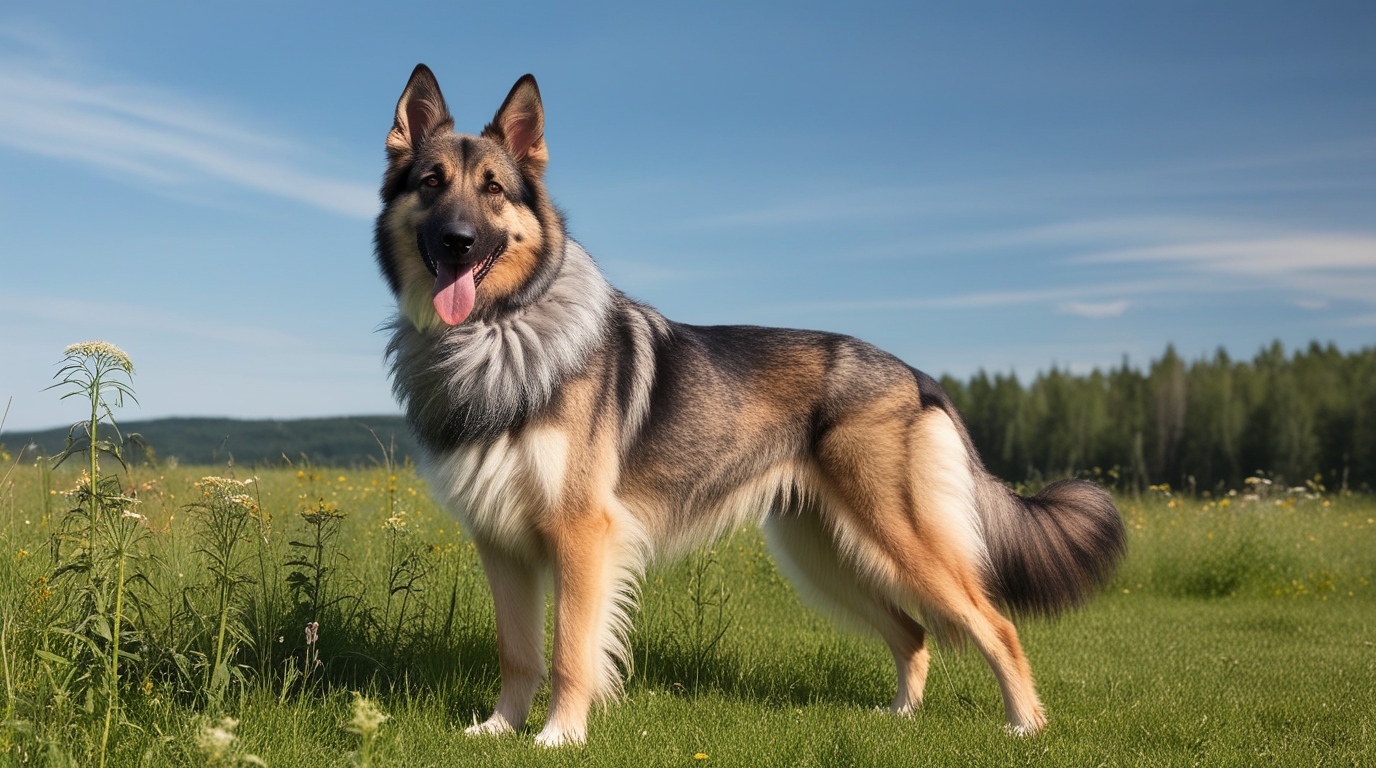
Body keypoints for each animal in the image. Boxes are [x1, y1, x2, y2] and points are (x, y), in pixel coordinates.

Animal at [371, 63, 1122, 748]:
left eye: (493, 191)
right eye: (431, 183)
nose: (458, 242)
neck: (498, 334)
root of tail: (917, 375)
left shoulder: (581, 536)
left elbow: (568, 652)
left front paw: (559, 738)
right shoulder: (502, 544)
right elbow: (519, 652)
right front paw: (498, 729)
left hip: (899, 542)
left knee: (996, 625)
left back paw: (1025, 727)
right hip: (828, 554)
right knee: (912, 633)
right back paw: (901, 719)